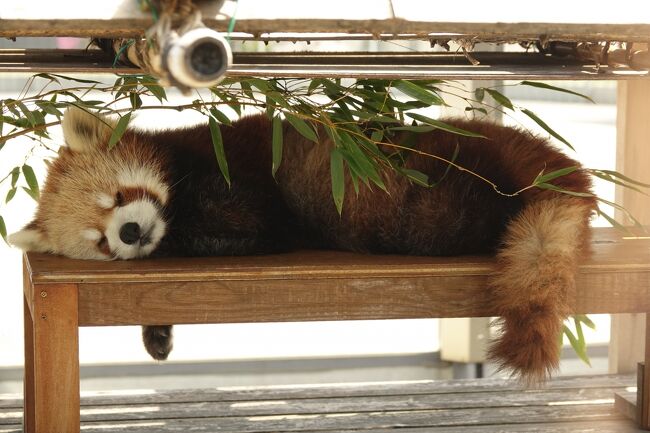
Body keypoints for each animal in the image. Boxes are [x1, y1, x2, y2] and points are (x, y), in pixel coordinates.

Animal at [10, 106, 596, 384]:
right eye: (101, 242)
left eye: (118, 196)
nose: (131, 233)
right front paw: (156, 334)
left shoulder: (237, 179)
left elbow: (237, 231)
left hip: (431, 194)